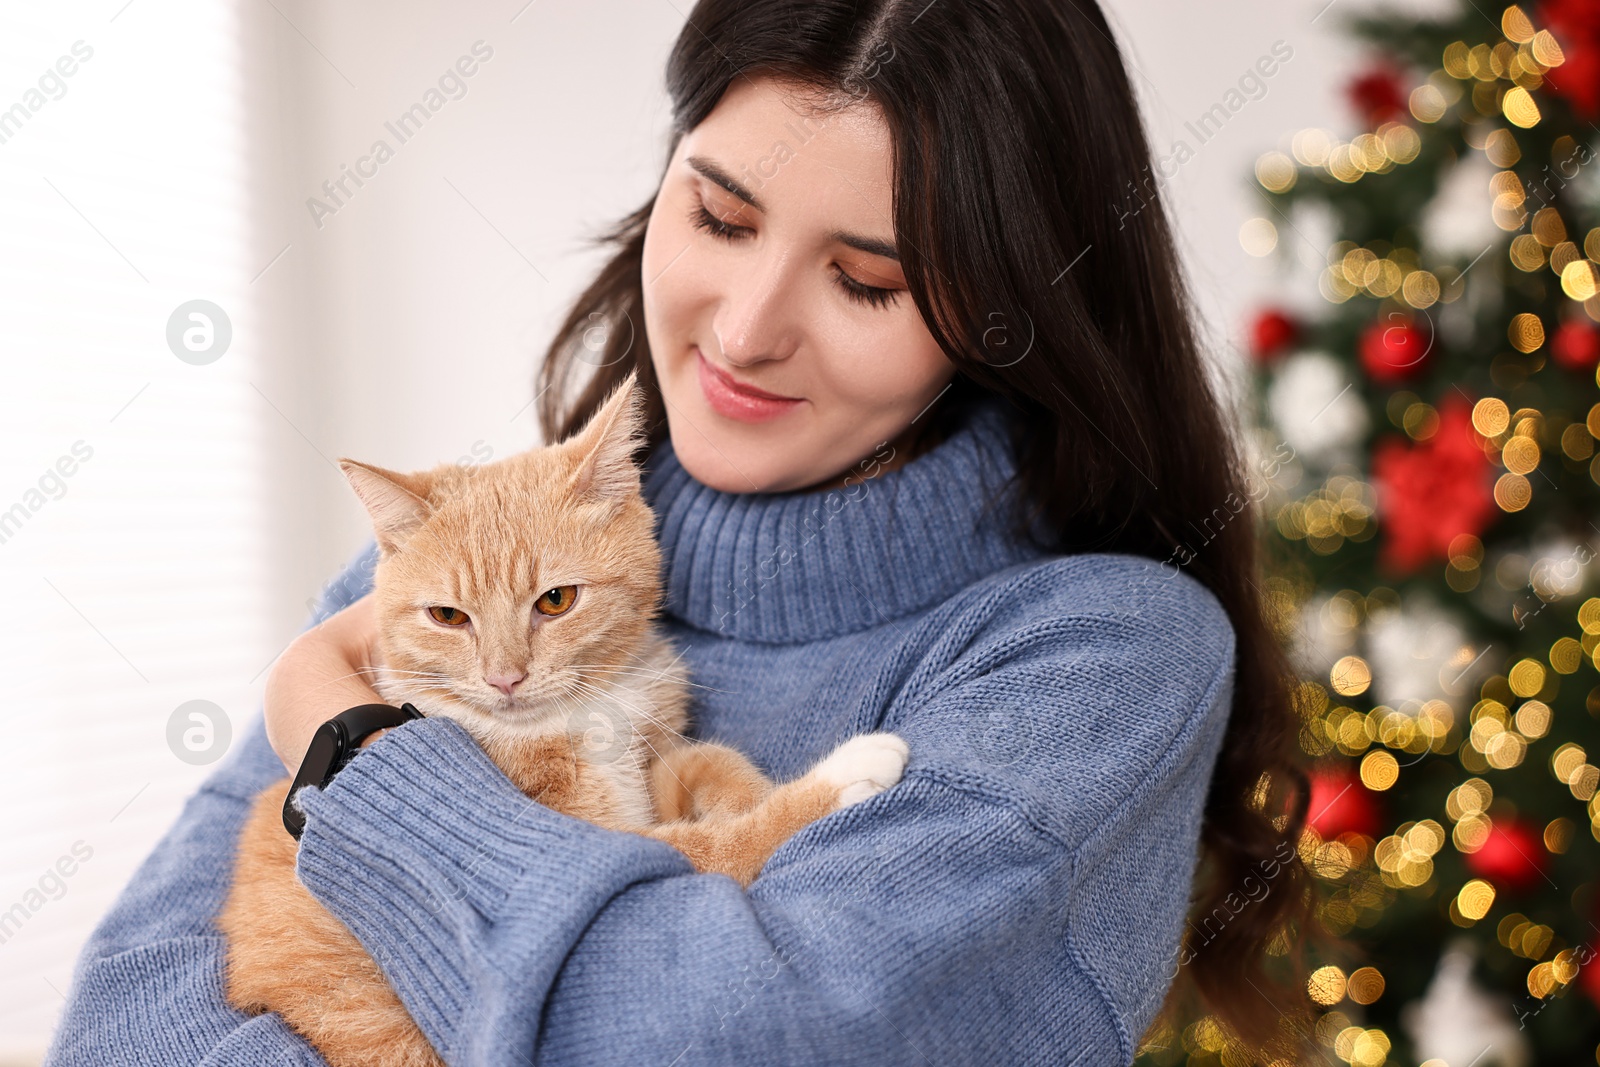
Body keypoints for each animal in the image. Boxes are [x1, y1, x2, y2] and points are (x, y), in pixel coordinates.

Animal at [220, 369, 915, 1067]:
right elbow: (717, 847)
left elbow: (706, 759)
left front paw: (750, 790)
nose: (504, 677)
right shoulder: (597, 837)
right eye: (447, 617)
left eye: (556, 600)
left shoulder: (647, 769)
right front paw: (835, 782)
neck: (581, 716)